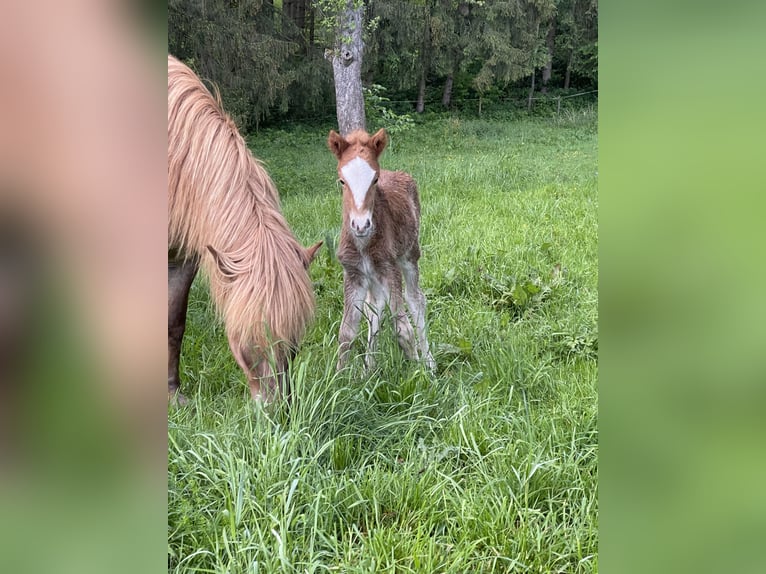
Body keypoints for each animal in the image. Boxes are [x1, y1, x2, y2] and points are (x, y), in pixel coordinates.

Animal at [168, 55, 320, 404]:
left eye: (294, 340)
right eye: (247, 341)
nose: (277, 411)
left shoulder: (180, 258)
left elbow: (173, 323)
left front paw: (172, 395)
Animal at [328, 129, 438, 374]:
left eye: (375, 179)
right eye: (342, 181)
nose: (361, 225)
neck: (364, 245)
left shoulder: (390, 267)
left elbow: (403, 328)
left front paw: (419, 374)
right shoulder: (353, 274)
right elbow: (346, 331)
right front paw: (338, 378)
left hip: (409, 255)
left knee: (416, 300)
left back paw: (429, 361)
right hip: (373, 276)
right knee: (375, 308)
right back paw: (369, 367)